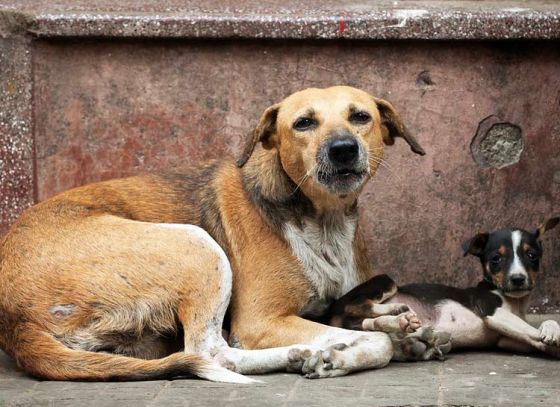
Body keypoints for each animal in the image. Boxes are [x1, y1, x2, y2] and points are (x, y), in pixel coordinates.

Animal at [0, 85, 440, 382]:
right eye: (303, 123)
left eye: (361, 117)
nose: (343, 148)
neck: (322, 218)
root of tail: (14, 321)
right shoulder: (261, 321)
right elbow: (371, 344)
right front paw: (347, 352)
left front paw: (397, 327)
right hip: (199, 245)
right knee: (213, 352)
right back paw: (299, 353)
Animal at [328, 218, 560, 358]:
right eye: (496, 259)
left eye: (532, 255)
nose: (518, 279)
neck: (515, 300)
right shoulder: (492, 312)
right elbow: (531, 330)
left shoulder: (506, 340)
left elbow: (537, 335)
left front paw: (550, 333)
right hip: (385, 281)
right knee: (355, 305)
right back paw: (395, 310)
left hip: (358, 322)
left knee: (364, 323)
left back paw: (404, 323)